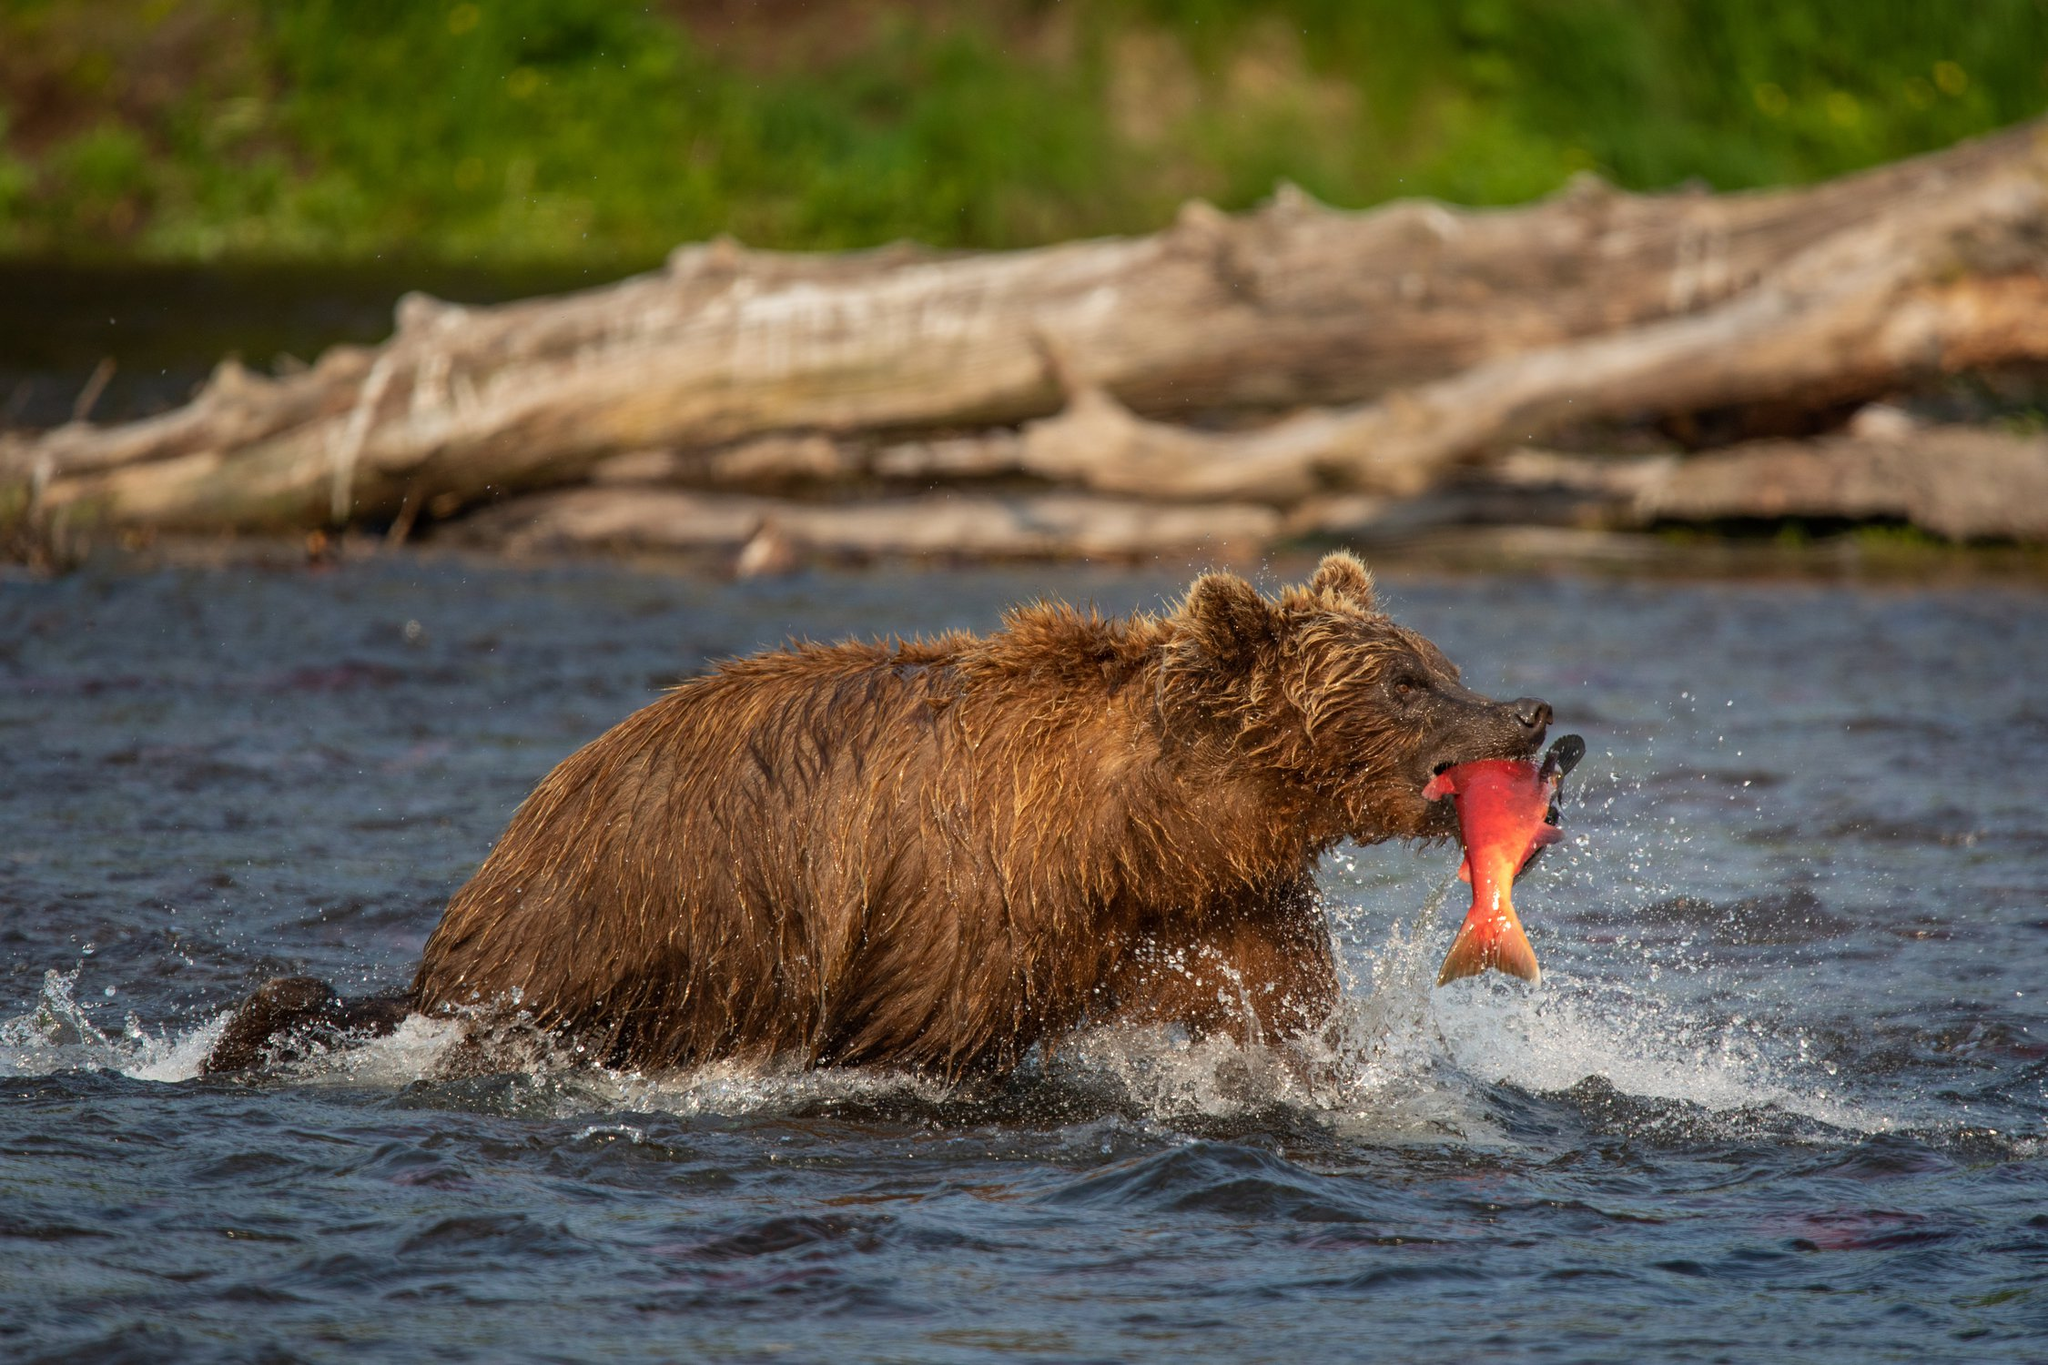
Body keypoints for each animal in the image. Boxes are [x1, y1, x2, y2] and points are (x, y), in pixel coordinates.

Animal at [207, 556, 1548, 1080]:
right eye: (1404, 681)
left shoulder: (1215, 909)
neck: (1129, 834)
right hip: (630, 921)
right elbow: (925, 1035)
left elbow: (1278, 1017)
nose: (1527, 712)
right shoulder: (954, 900)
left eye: (1435, 659)